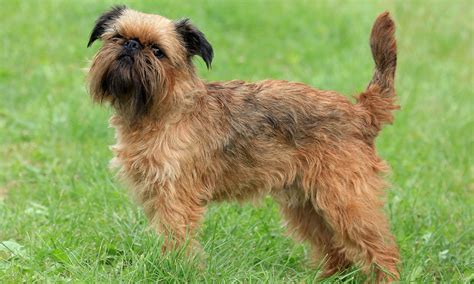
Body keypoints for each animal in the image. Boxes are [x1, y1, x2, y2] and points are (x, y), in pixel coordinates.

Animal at [87, 6, 398, 282]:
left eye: (157, 50)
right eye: (116, 37)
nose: (131, 45)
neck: (162, 110)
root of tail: (361, 112)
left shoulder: (175, 198)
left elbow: (177, 239)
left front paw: (176, 271)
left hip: (345, 200)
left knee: (381, 249)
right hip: (307, 204)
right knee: (337, 249)